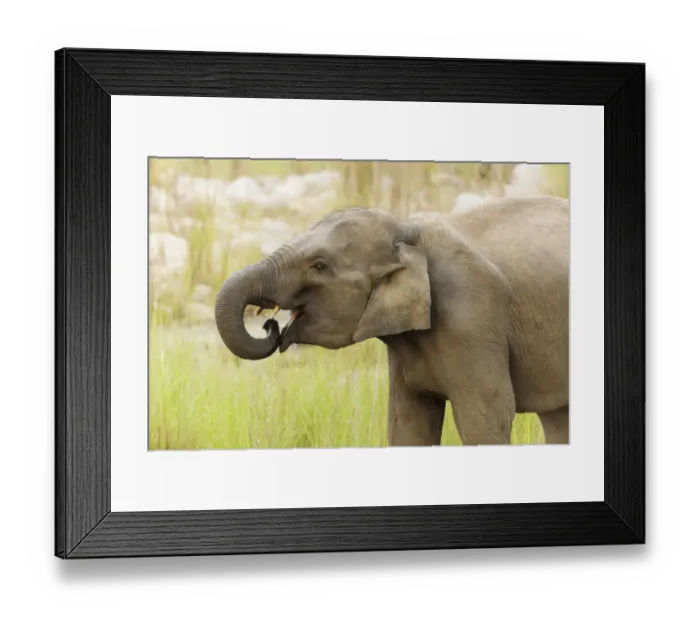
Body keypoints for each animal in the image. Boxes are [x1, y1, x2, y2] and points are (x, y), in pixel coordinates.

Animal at [215, 195, 569, 446]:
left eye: (319, 265)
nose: (270, 326)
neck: (408, 231)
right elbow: (408, 423)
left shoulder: (472, 317)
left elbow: (485, 419)